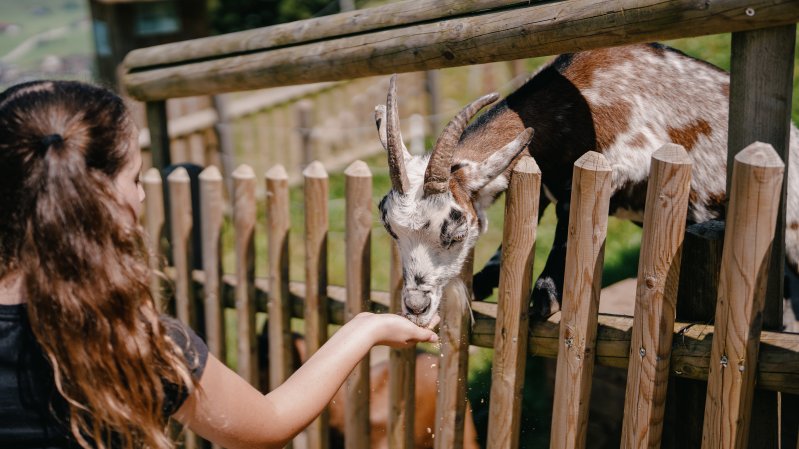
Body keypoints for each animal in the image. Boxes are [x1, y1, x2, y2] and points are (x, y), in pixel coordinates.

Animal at [376, 43, 799, 326]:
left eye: (455, 230)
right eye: (392, 231)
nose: (415, 307)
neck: (583, 96)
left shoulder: (622, 165)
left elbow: (568, 221)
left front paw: (546, 294)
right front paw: (485, 279)